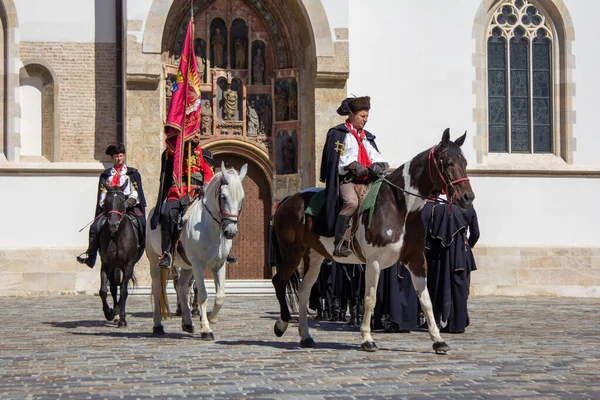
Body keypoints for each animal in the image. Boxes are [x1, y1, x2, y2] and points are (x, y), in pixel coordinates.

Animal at [98, 183, 141, 326]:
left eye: (122, 201)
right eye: (107, 201)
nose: (112, 224)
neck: (116, 236)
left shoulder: (128, 265)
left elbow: (123, 291)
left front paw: (122, 319)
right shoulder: (106, 264)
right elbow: (103, 291)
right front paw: (109, 313)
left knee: (121, 287)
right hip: (114, 267)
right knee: (113, 287)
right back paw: (114, 312)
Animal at [146, 161, 247, 340]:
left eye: (241, 198)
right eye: (223, 197)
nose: (230, 232)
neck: (210, 227)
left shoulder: (219, 265)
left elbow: (220, 296)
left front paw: (212, 318)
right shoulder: (199, 265)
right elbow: (203, 294)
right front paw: (206, 328)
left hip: (187, 265)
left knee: (181, 287)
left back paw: (187, 322)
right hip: (155, 261)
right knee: (157, 289)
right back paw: (158, 326)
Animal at [270, 129, 474, 354]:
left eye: (465, 162)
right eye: (448, 162)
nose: (468, 197)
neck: (400, 207)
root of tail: (288, 200)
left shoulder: (416, 261)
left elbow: (425, 299)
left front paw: (438, 340)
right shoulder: (374, 262)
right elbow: (370, 299)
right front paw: (367, 339)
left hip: (314, 257)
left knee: (304, 292)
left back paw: (306, 336)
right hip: (292, 253)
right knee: (279, 281)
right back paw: (282, 324)